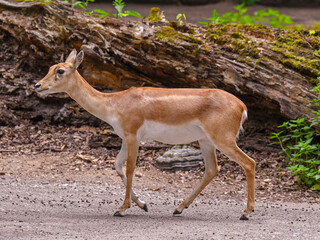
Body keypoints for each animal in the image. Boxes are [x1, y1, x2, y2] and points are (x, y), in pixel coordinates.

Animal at [34, 49, 255, 220]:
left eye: (60, 70)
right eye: (50, 67)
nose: (38, 85)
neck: (114, 104)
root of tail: (242, 107)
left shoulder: (133, 136)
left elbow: (130, 168)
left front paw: (122, 209)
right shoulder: (125, 137)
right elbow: (117, 165)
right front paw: (143, 204)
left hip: (223, 139)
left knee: (249, 163)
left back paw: (246, 212)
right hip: (206, 141)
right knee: (212, 169)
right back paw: (178, 208)